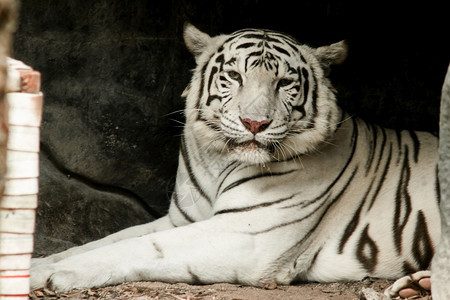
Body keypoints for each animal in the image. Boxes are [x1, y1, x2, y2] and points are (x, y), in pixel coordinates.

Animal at [30, 24, 440, 298]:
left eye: (284, 83)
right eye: (234, 76)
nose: (254, 123)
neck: (218, 161)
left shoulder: (248, 233)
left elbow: (139, 247)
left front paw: (52, 275)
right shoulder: (182, 218)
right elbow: (102, 240)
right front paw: (37, 263)